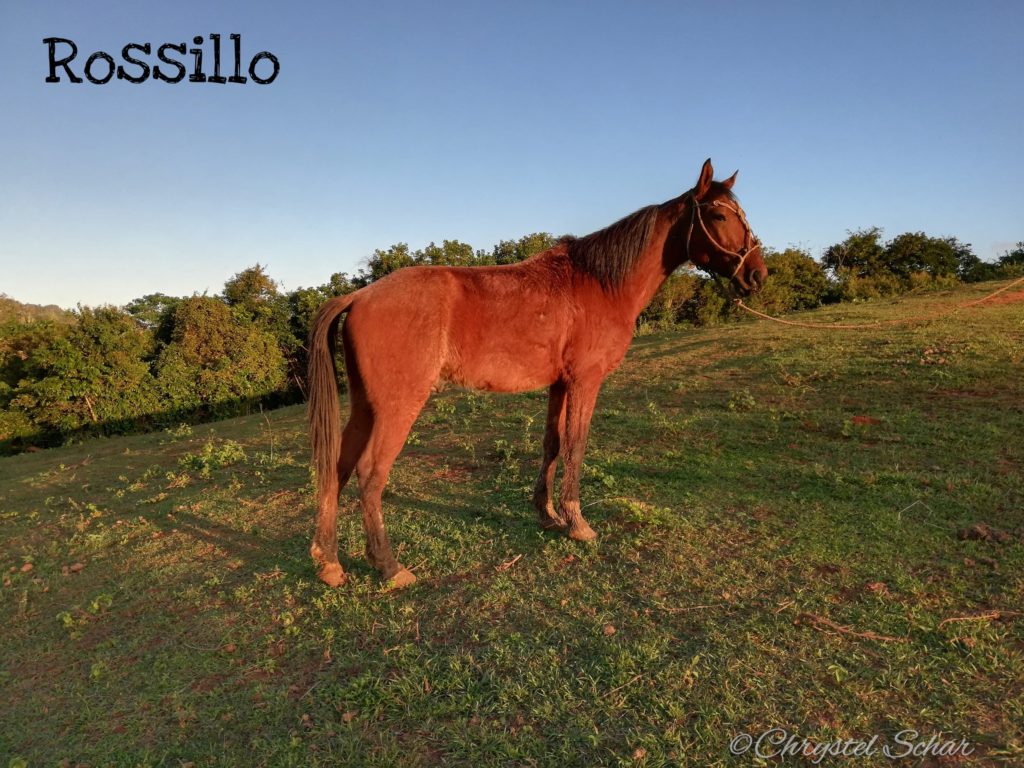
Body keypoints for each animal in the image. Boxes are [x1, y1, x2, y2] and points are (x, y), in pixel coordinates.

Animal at [307, 159, 766, 588]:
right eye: (719, 216)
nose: (757, 274)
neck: (600, 283)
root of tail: (359, 295)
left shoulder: (559, 385)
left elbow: (553, 444)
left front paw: (546, 514)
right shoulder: (585, 382)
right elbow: (576, 446)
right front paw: (577, 523)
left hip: (366, 407)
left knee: (338, 468)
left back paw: (329, 562)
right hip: (398, 407)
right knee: (370, 474)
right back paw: (388, 565)